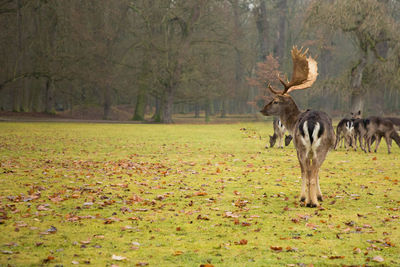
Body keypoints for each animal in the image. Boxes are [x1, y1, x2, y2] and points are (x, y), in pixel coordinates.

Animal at [260, 47, 334, 208]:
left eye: (275, 101)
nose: (262, 110)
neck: (292, 122)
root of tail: (312, 122)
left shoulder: (296, 147)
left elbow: (306, 171)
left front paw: (306, 197)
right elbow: (315, 172)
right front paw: (318, 196)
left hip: (303, 146)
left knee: (308, 170)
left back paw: (309, 201)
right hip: (316, 148)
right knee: (312, 170)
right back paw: (312, 202)